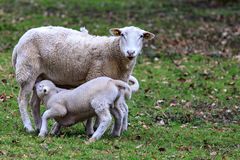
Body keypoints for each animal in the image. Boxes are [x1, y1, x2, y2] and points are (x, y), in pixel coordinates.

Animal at [12, 25, 155, 132]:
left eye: (141, 36)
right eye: (122, 35)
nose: (130, 52)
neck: (113, 55)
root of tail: (19, 43)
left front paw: (97, 127)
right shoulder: (94, 76)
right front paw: (91, 129)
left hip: (40, 75)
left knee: (34, 103)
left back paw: (38, 126)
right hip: (27, 71)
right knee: (22, 100)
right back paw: (29, 127)